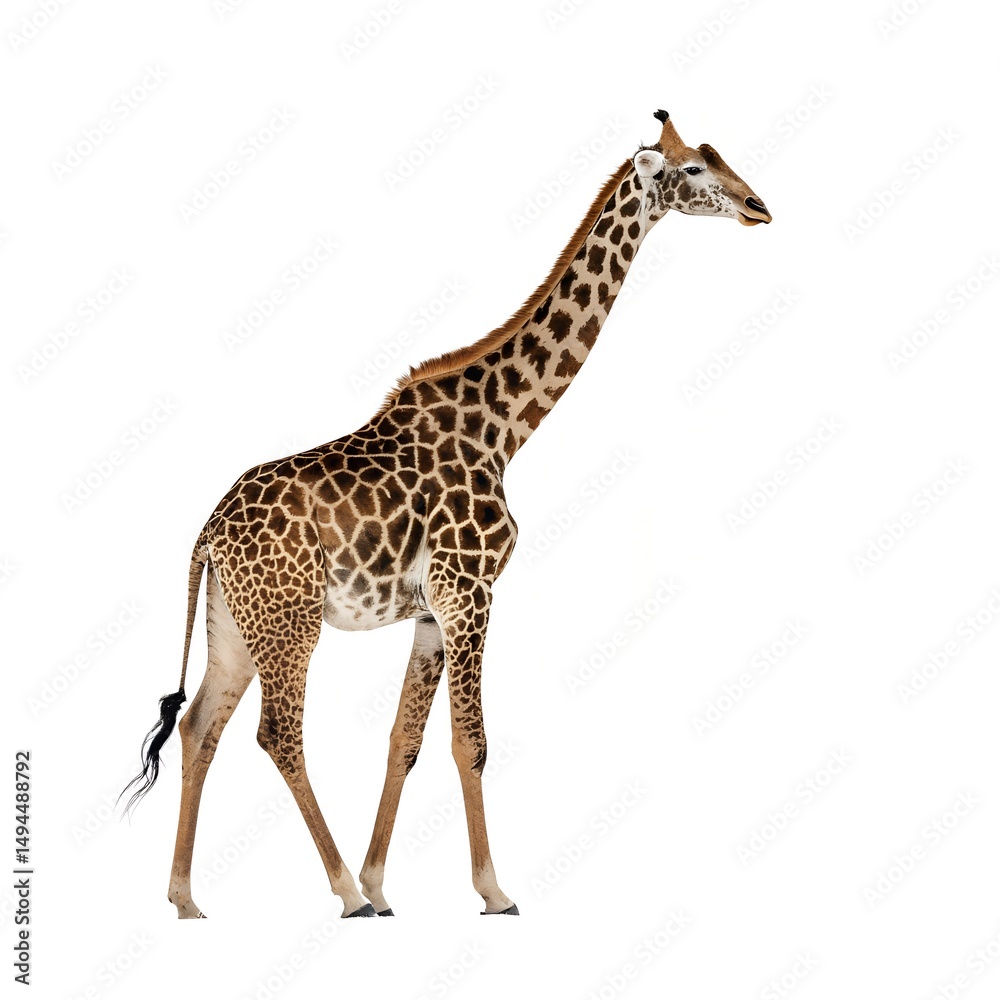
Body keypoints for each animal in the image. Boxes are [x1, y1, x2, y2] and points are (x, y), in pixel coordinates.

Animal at [121, 110, 770, 919]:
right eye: (691, 170)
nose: (757, 206)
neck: (504, 427)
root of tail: (207, 534)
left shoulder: (433, 611)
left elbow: (405, 740)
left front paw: (384, 882)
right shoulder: (471, 592)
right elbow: (472, 742)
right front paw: (490, 890)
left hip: (234, 623)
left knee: (200, 725)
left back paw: (187, 898)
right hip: (289, 621)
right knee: (277, 734)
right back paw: (340, 893)